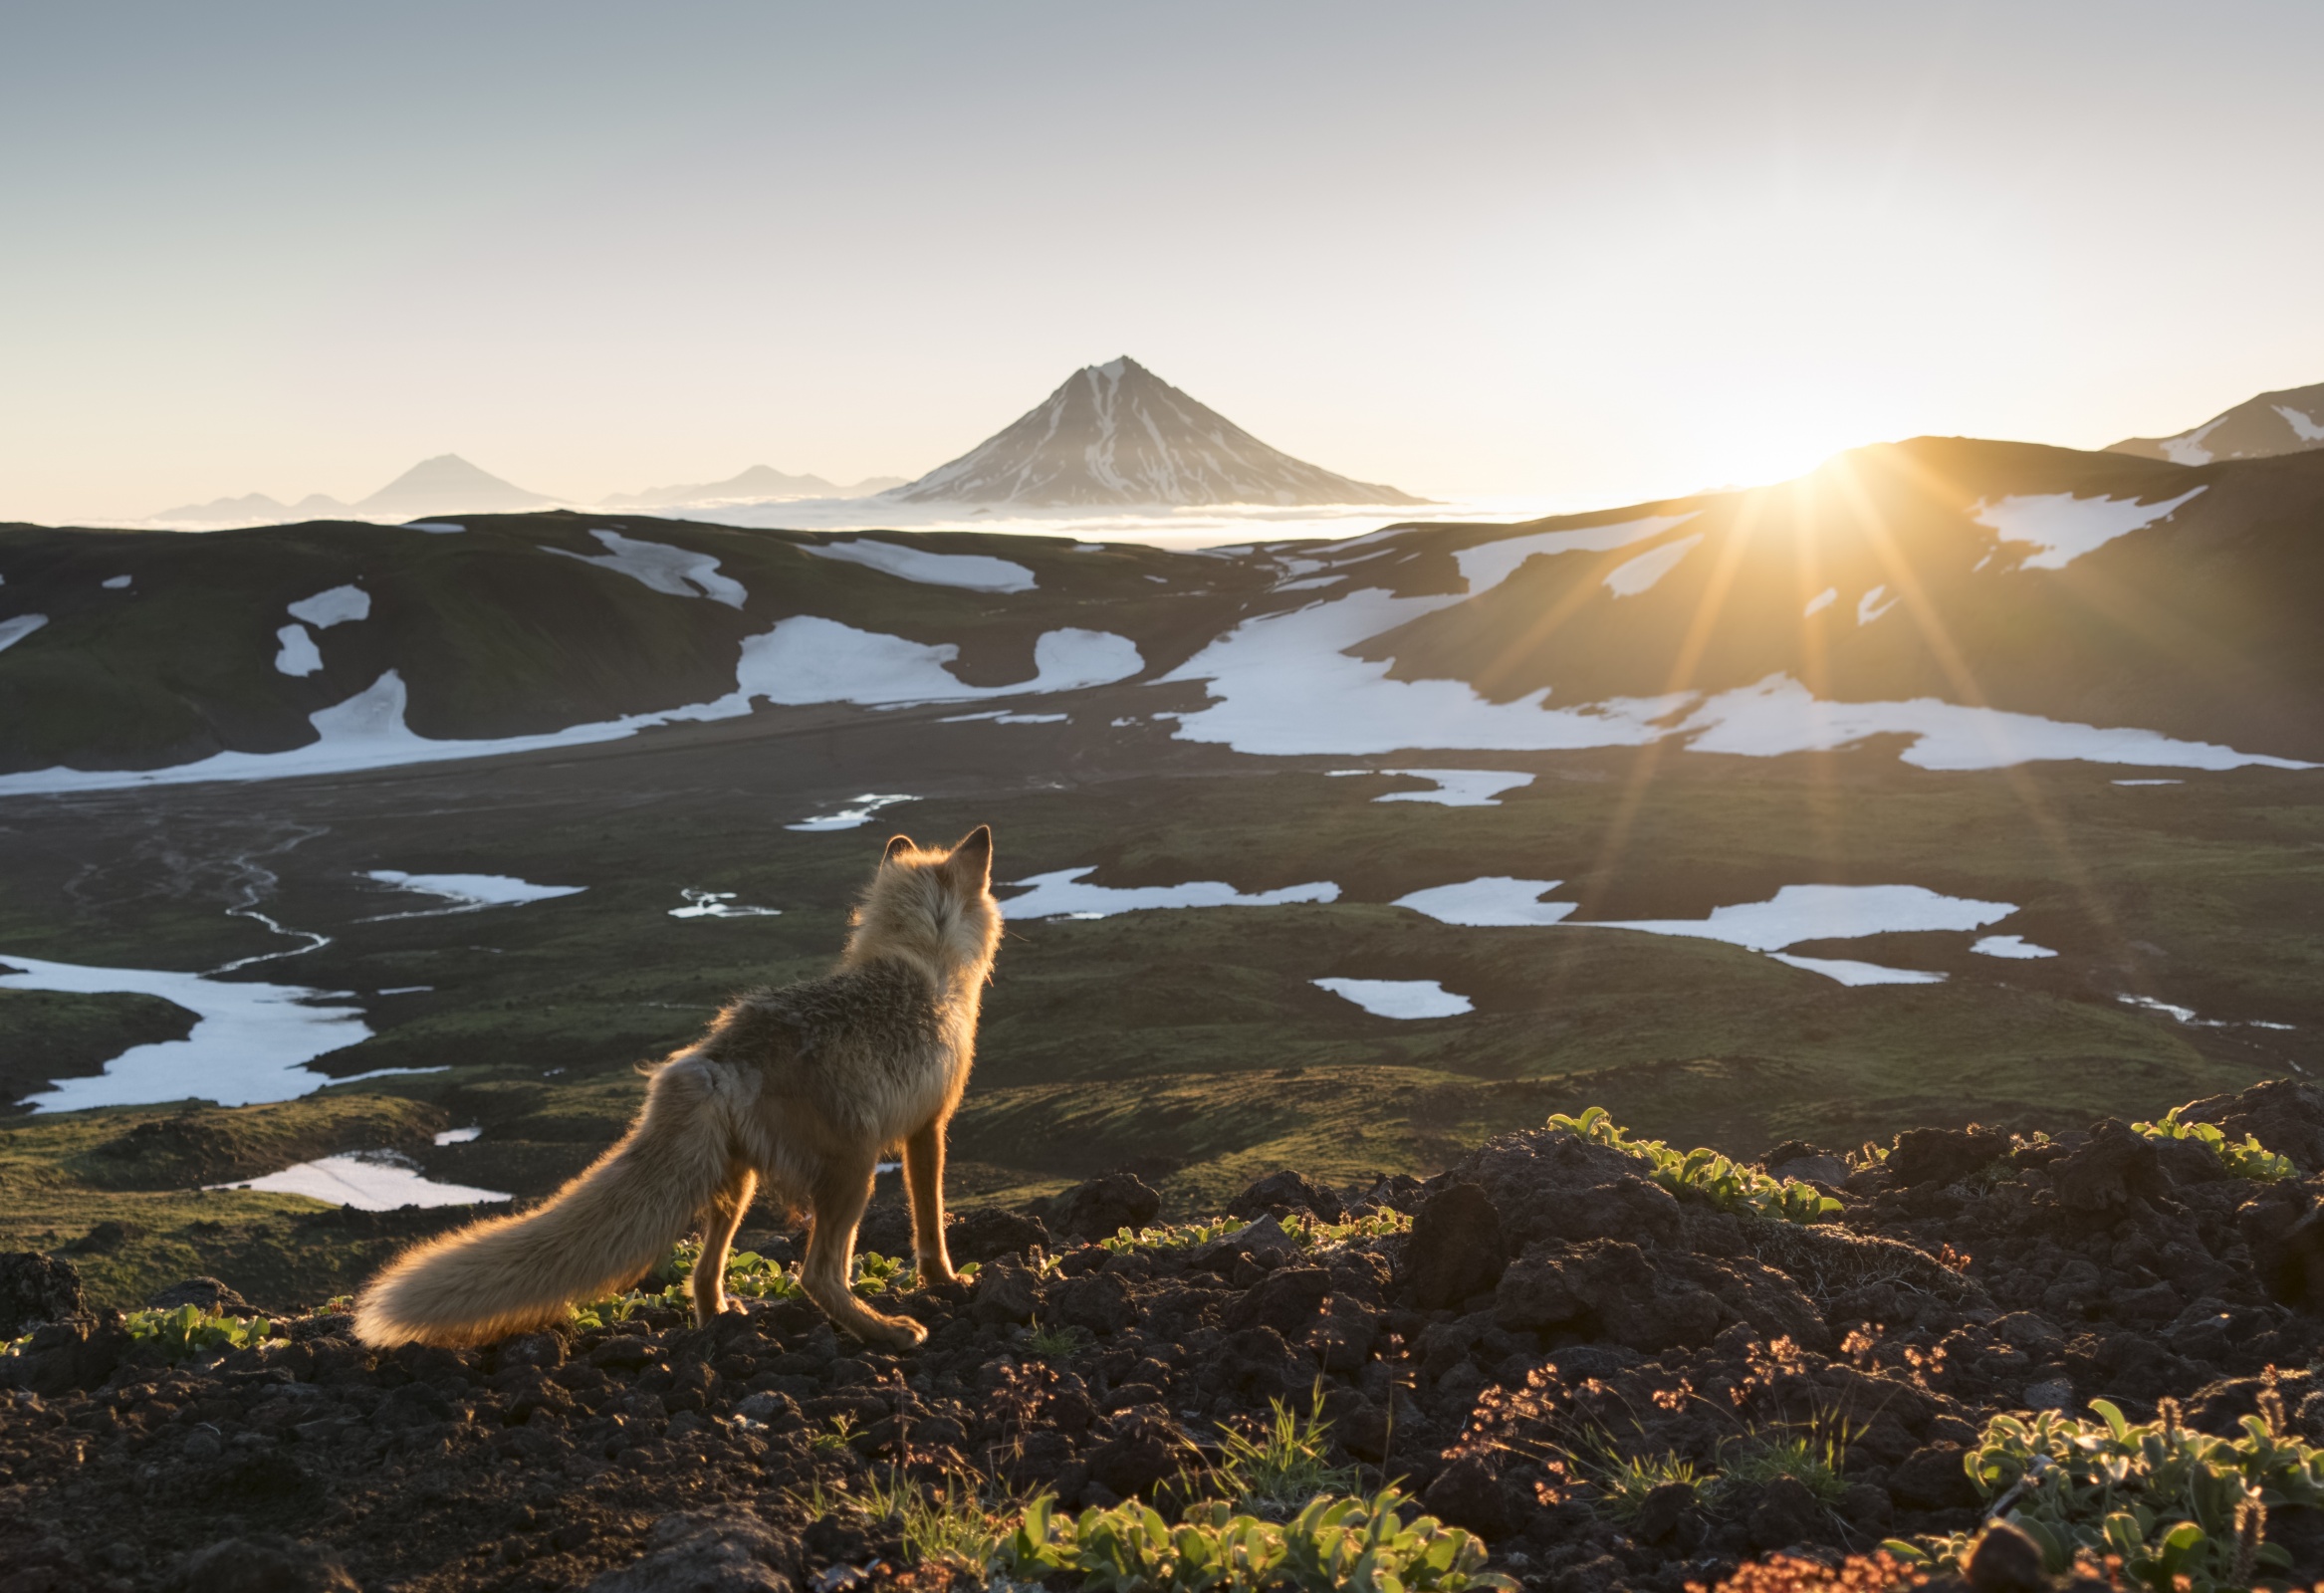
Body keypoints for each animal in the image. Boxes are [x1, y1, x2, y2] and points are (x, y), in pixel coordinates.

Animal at [349, 830, 1004, 1356]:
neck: (922, 958)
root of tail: (719, 1056)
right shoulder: (930, 1127)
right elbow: (930, 1223)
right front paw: (945, 1283)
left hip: (735, 1181)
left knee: (704, 1272)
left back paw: (721, 1322)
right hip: (853, 1172)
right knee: (815, 1276)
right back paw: (888, 1333)